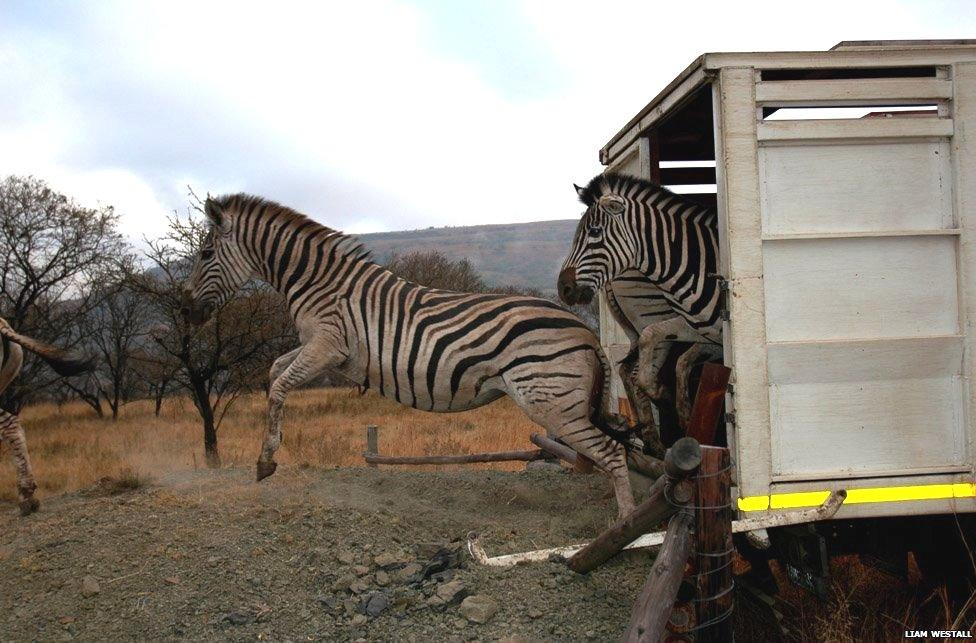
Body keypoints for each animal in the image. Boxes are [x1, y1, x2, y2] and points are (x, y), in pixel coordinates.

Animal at [181, 195, 640, 520]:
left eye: (204, 255)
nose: (187, 312)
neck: (316, 282)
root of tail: (582, 326)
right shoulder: (319, 346)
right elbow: (274, 371)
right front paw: (269, 455)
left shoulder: (328, 344)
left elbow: (278, 385)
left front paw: (264, 461)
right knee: (613, 451)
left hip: (551, 403)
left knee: (613, 453)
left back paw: (624, 525)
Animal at [556, 174, 724, 440]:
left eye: (595, 232)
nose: (563, 288)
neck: (700, 260)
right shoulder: (703, 332)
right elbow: (658, 345)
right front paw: (671, 402)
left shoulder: (714, 335)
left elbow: (682, 360)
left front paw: (681, 409)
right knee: (631, 369)